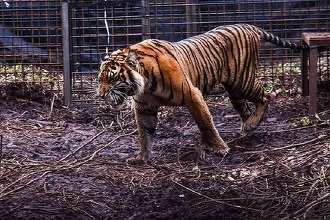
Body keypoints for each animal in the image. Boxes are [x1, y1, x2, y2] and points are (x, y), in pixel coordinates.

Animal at [96, 23, 306, 165]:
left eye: (112, 79)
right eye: (99, 79)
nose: (99, 96)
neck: (145, 83)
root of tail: (249, 26)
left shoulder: (192, 94)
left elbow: (205, 124)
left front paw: (220, 149)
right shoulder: (144, 107)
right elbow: (144, 134)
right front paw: (142, 158)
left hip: (242, 81)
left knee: (266, 96)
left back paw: (250, 125)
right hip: (234, 91)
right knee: (246, 109)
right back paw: (248, 129)